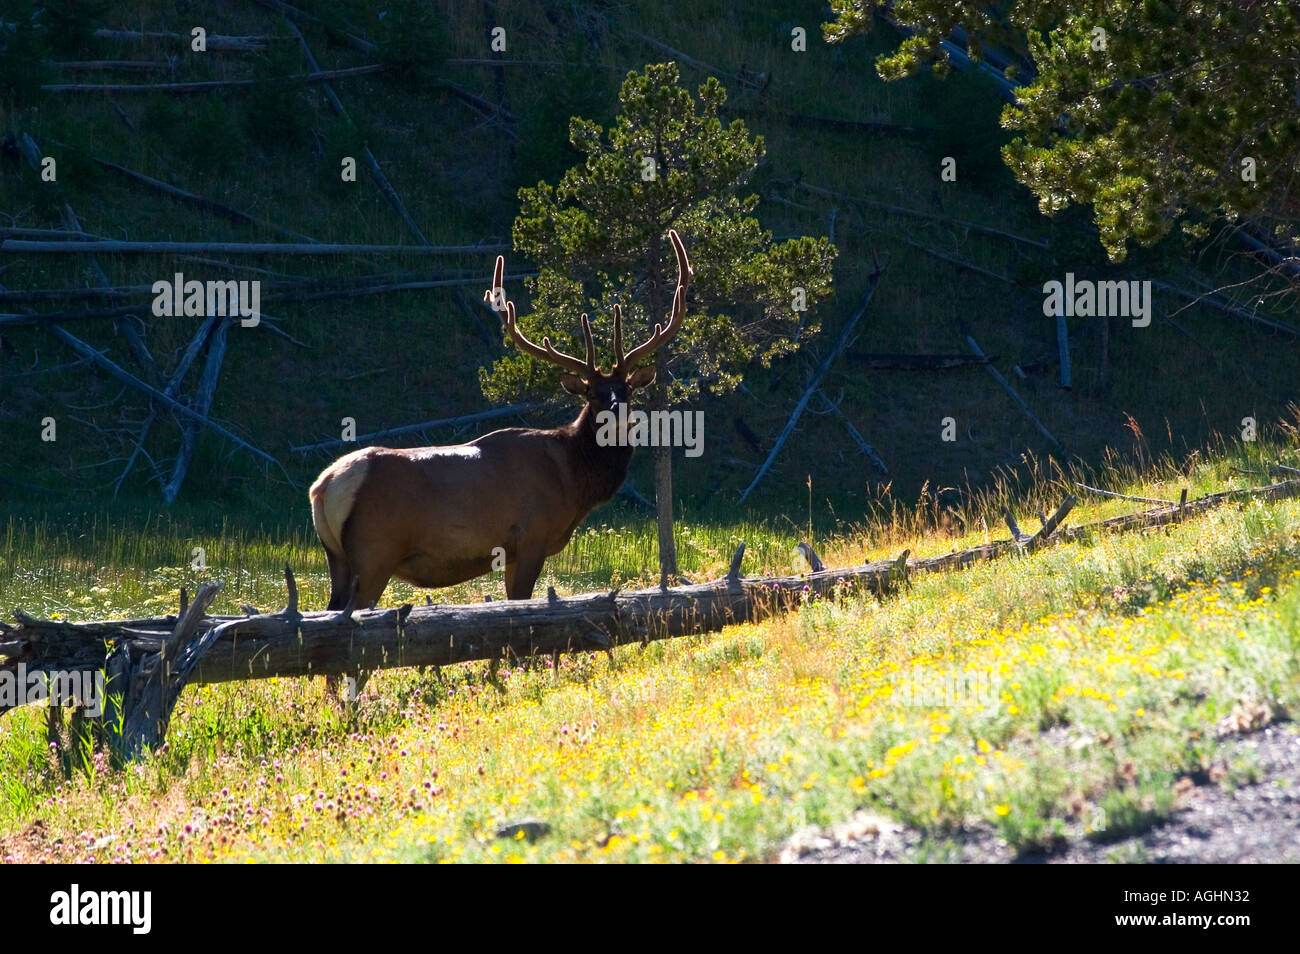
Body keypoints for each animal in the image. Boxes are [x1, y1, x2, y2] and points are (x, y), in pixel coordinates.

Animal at [308, 230, 692, 618]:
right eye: (593, 394)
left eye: (627, 389)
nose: (618, 413)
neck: (572, 480)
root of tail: (324, 486)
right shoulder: (531, 536)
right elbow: (519, 603)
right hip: (374, 551)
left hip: (337, 557)